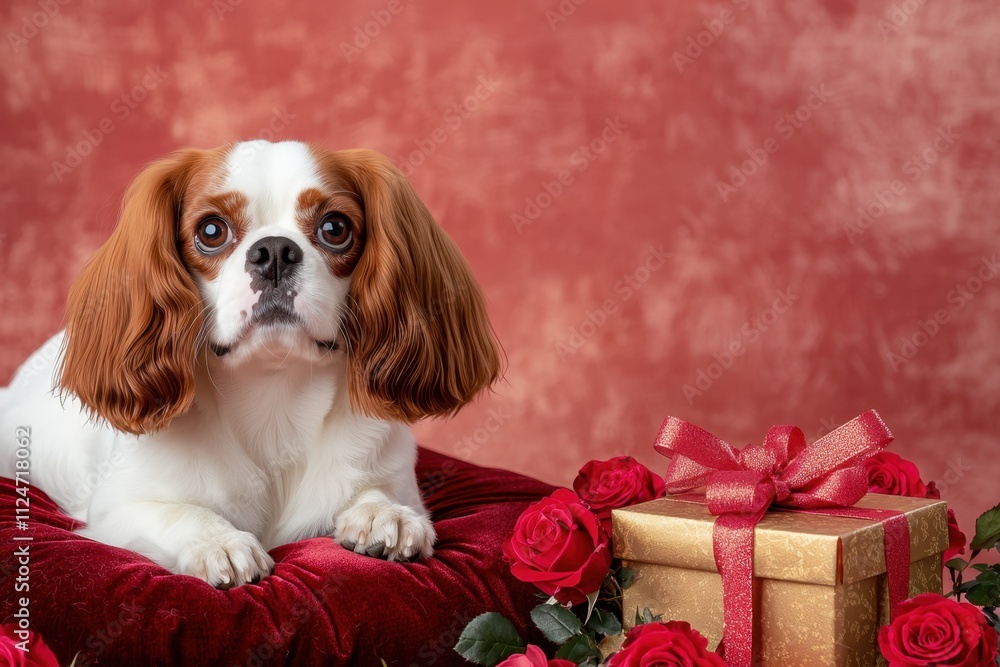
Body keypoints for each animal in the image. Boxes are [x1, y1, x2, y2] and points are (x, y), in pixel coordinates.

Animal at [0, 138, 500, 588]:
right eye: (211, 231)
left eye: (335, 227)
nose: (275, 251)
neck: (274, 396)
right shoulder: (115, 509)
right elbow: (180, 513)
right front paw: (218, 542)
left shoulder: (398, 478)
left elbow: (380, 492)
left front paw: (383, 512)